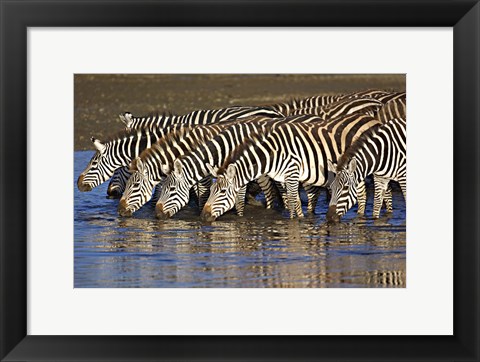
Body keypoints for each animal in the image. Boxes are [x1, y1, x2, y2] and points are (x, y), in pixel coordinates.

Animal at [195, 113, 382, 221]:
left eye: (222, 192)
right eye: (210, 190)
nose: (203, 217)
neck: (271, 154)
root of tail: (371, 118)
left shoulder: (292, 172)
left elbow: (293, 200)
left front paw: (295, 223)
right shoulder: (284, 176)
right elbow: (293, 200)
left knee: (364, 194)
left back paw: (361, 218)